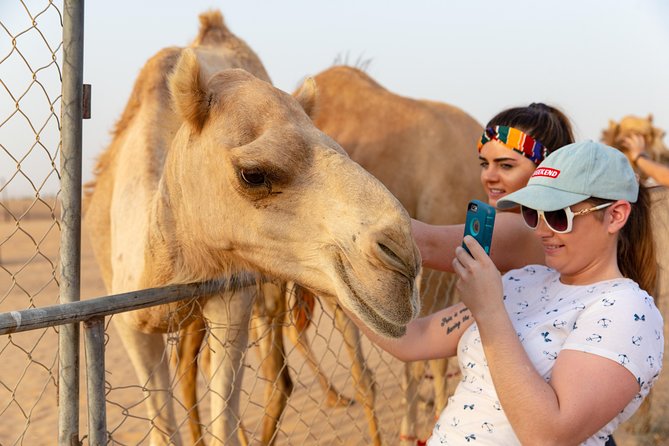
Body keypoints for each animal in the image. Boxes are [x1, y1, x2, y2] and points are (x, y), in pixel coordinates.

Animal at [83, 11, 421, 446]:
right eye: (253, 174)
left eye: (341, 150)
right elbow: (165, 426)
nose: (403, 260)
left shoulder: (231, 299)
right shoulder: (129, 322)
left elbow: (223, 421)